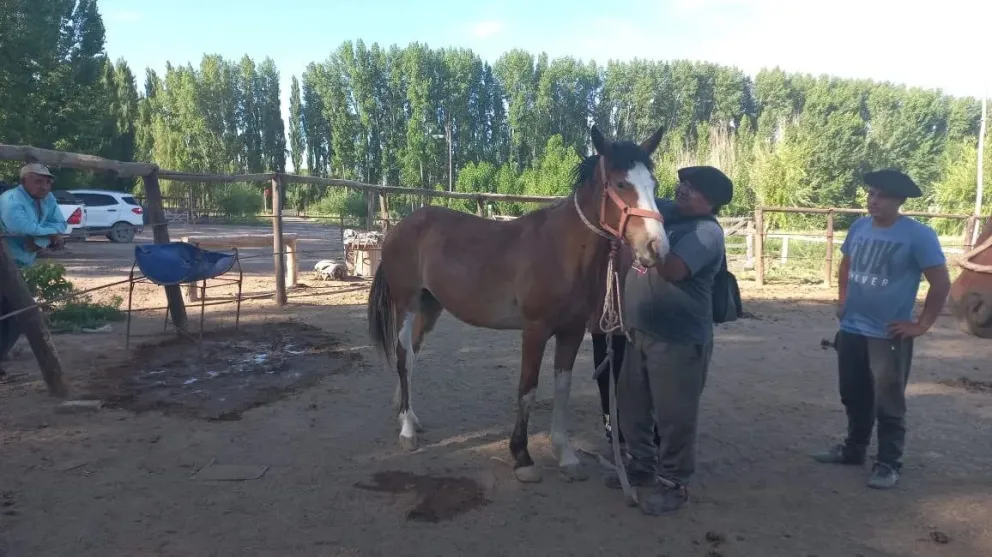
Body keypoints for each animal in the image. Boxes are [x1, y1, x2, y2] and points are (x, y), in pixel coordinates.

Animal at [366, 125, 670, 483]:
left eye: (654, 184)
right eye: (621, 183)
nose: (657, 247)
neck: (561, 250)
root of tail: (399, 228)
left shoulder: (571, 331)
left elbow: (562, 388)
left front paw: (565, 454)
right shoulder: (535, 331)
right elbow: (528, 388)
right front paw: (522, 457)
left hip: (431, 307)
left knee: (412, 357)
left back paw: (408, 417)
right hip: (407, 304)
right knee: (403, 357)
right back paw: (407, 432)